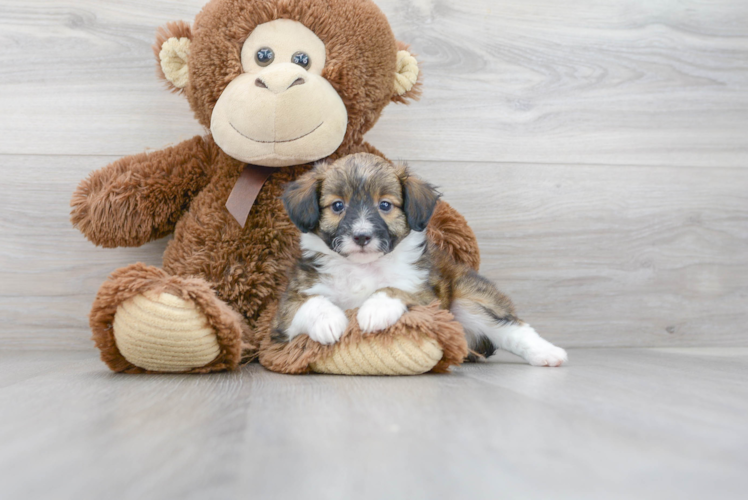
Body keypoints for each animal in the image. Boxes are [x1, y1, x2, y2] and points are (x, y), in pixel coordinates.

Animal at [274, 152, 568, 368]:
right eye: (337, 206)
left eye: (385, 205)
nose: (362, 236)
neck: (363, 267)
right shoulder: (284, 313)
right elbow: (310, 303)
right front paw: (328, 321)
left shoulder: (427, 295)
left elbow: (396, 289)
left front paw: (375, 309)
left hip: (467, 302)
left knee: (515, 329)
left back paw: (548, 353)